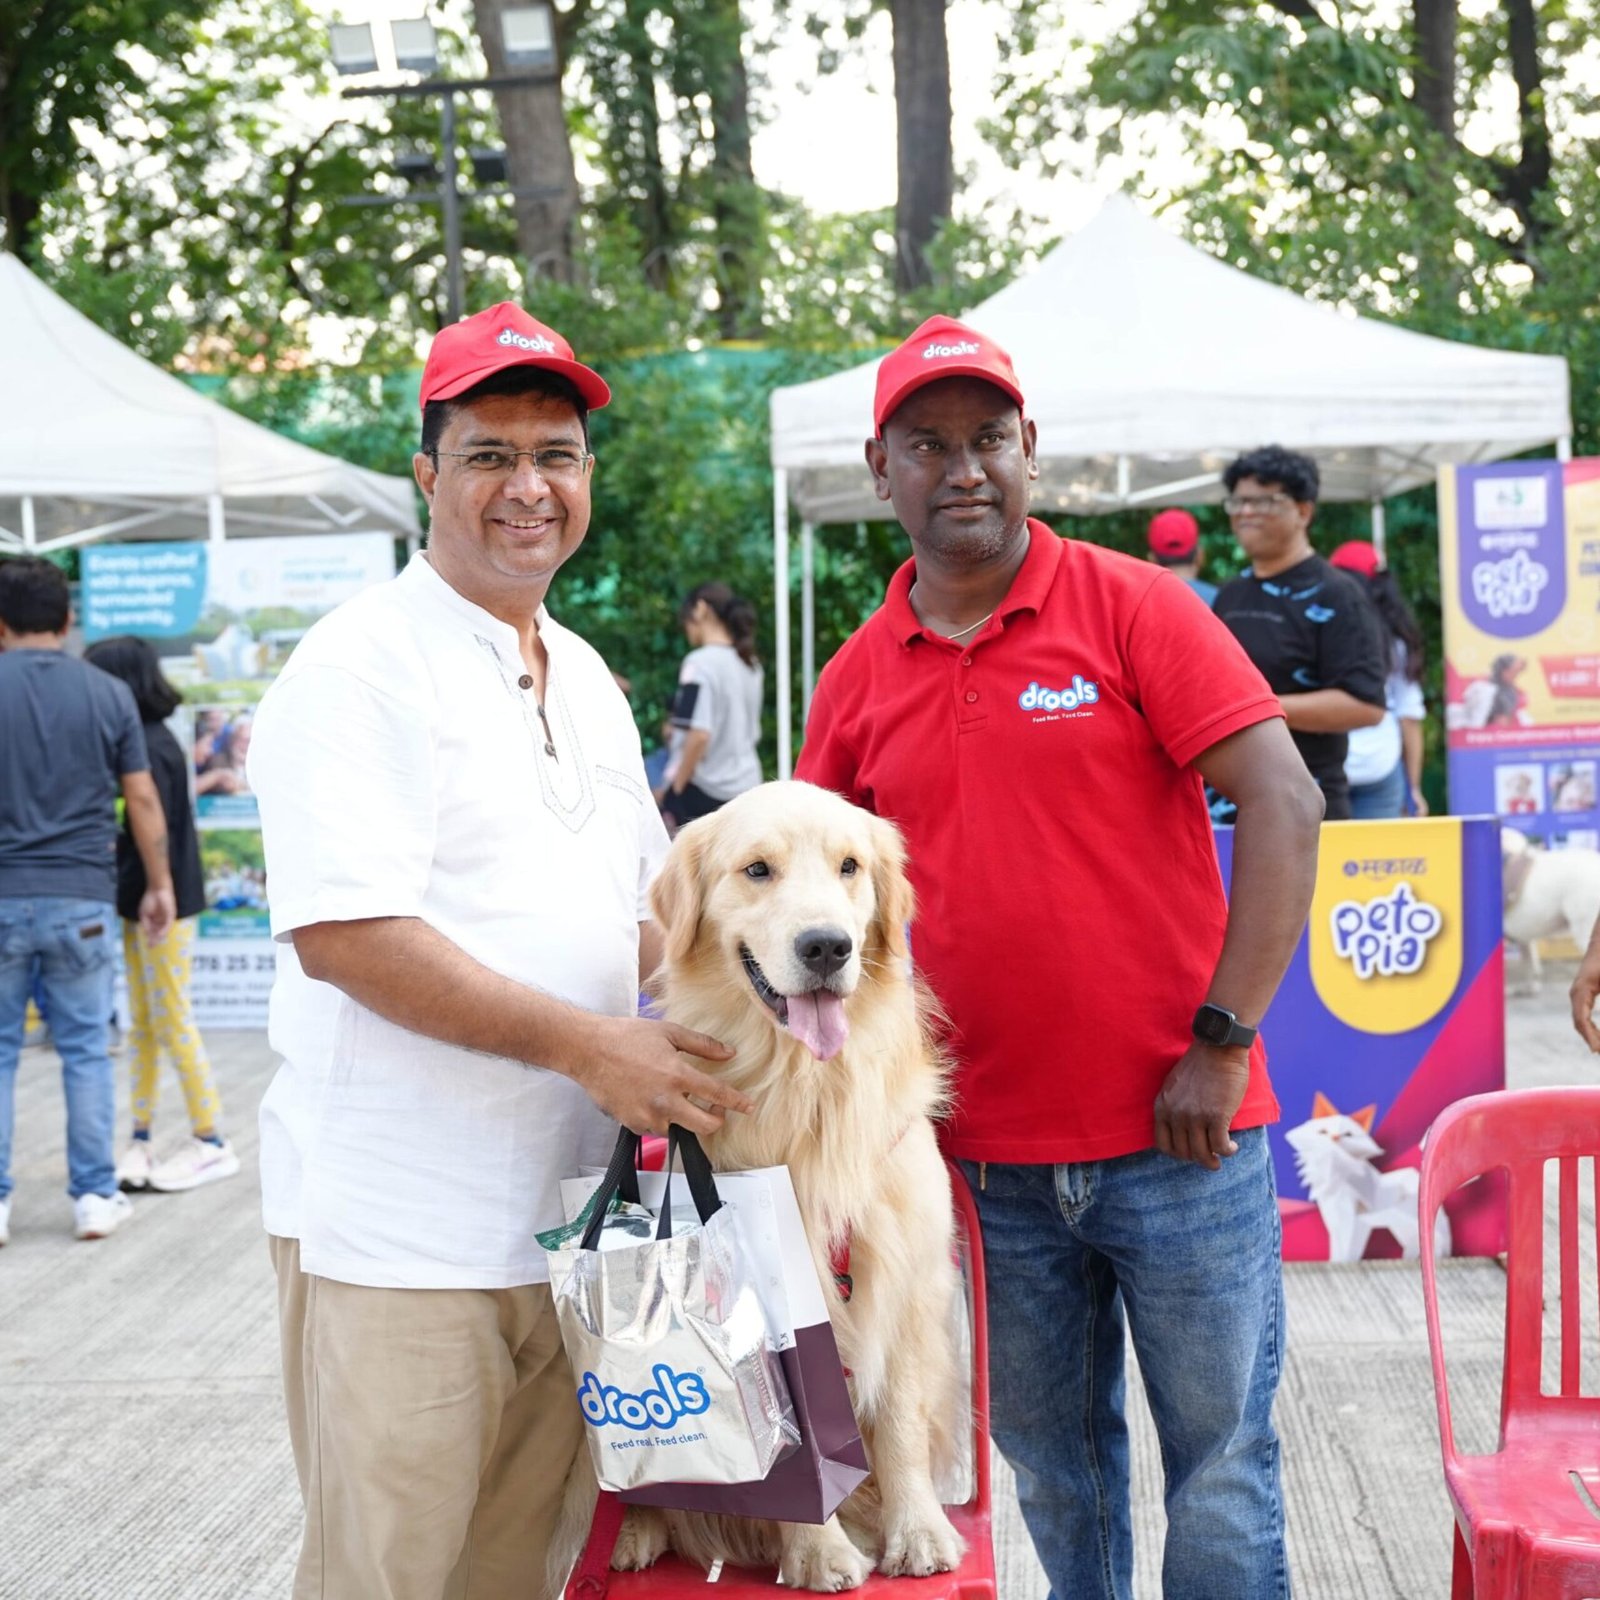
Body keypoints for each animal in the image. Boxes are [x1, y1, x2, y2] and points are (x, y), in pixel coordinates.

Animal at [562, 780, 966, 1593]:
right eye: (757, 870)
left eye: (850, 866)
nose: (827, 946)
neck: (806, 1088)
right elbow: (790, 1465)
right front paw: (818, 1553)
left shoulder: (906, 1277)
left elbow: (901, 1422)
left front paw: (918, 1532)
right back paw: (631, 1532)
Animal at [1285, 1093, 1449, 1262]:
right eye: (1323, 1131)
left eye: (1348, 1134)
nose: (1335, 1137)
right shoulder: (1336, 1219)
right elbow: (1337, 1247)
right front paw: (1335, 1260)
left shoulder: (1353, 1221)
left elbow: (1348, 1249)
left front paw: (1344, 1261)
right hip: (1399, 1223)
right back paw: (1409, 1258)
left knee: (1437, 1238)